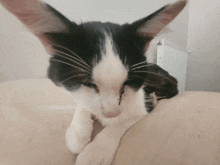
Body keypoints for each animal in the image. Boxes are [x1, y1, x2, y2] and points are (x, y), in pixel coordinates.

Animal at [0, 0, 186, 164]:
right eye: (88, 83)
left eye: (127, 83)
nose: (111, 113)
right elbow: (83, 105)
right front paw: (77, 134)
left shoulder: (143, 104)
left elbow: (122, 123)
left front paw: (95, 152)